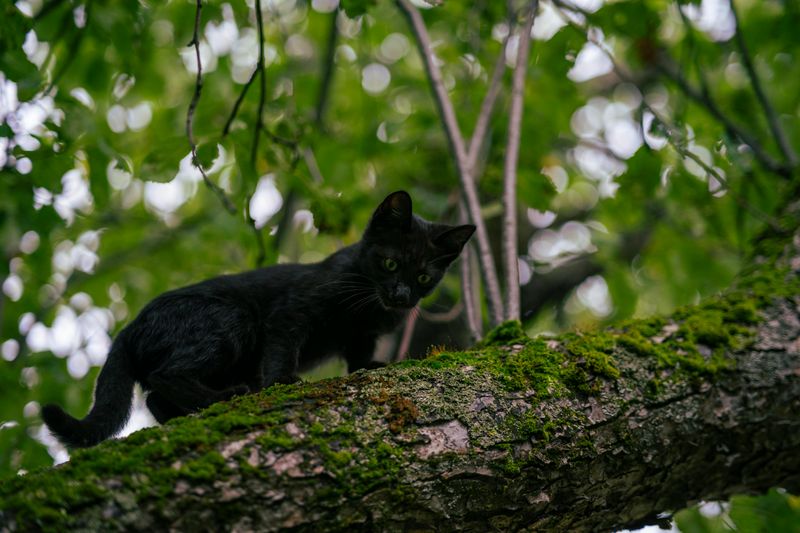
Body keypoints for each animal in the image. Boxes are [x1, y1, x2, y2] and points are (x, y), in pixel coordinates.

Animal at [42, 189, 476, 446]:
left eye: (424, 277)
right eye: (390, 263)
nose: (402, 296)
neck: (367, 304)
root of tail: (131, 327)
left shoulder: (362, 334)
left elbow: (358, 354)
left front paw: (369, 367)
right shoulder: (291, 312)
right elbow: (282, 349)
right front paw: (283, 381)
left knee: (154, 396)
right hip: (231, 319)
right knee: (165, 377)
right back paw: (227, 396)